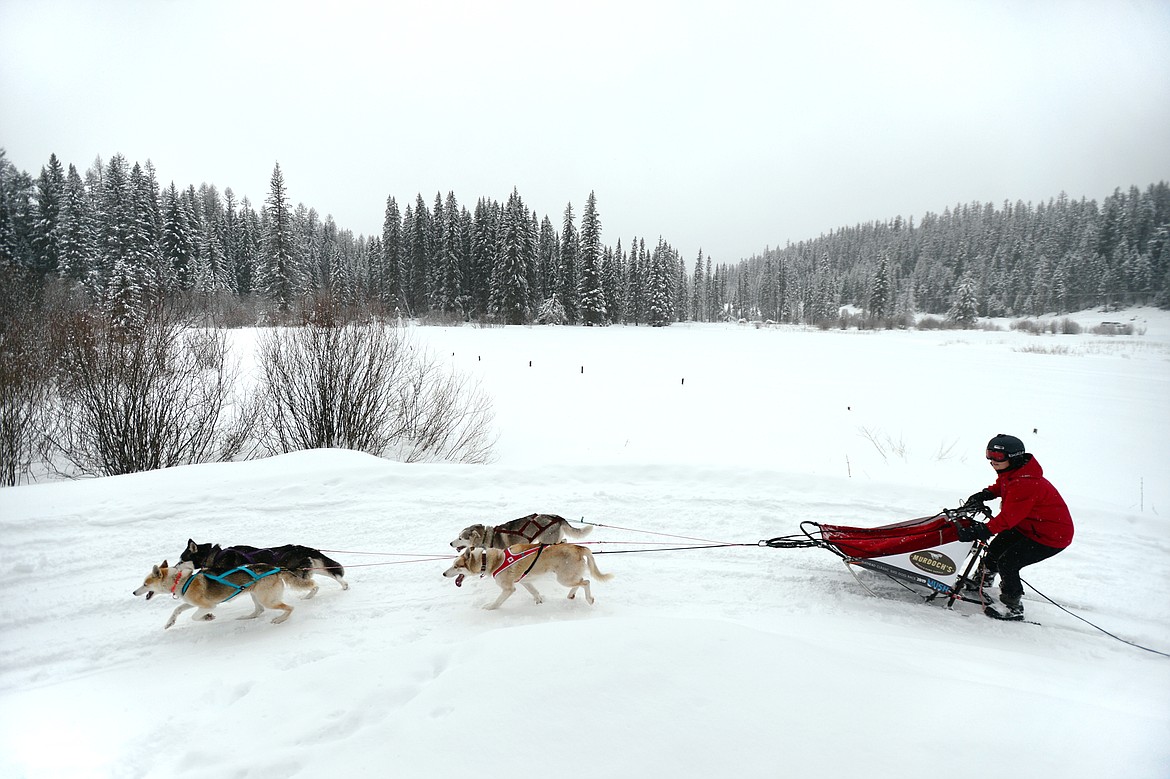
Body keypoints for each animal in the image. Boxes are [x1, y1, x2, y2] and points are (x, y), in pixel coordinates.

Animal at [132, 559, 313, 626]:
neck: (180, 580)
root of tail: (276, 568)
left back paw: (280, 619)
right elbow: (177, 609)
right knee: (259, 610)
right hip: (255, 595)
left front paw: (207, 617)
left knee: (289, 608)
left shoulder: (207, 605)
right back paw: (246, 617)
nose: (134, 592)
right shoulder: (191, 603)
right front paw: (170, 622)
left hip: (267, 599)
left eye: (145, 584)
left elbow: (195, 616)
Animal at [180, 538, 346, 596]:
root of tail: (300, 547)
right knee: (333, 572)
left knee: (313, 584)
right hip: (310, 568)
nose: (176, 564)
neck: (214, 555)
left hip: (296, 572)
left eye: (181, 560)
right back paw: (344, 585)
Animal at [442, 540, 617, 608]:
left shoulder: (508, 589)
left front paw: (490, 607)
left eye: (456, 566)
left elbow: (497, 602)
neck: (495, 559)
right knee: (581, 581)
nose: (444, 574)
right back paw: (571, 595)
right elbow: (534, 591)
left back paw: (589, 599)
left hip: (564, 578)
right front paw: (538, 600)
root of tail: (579, 547)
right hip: (568, 577)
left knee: (586, 582)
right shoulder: (524, 581)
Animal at [449, 512, 594, 549]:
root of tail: (557, 517)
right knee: (564, 540)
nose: (450, 543)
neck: (488, 537)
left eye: (460, 538)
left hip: (547, 540)